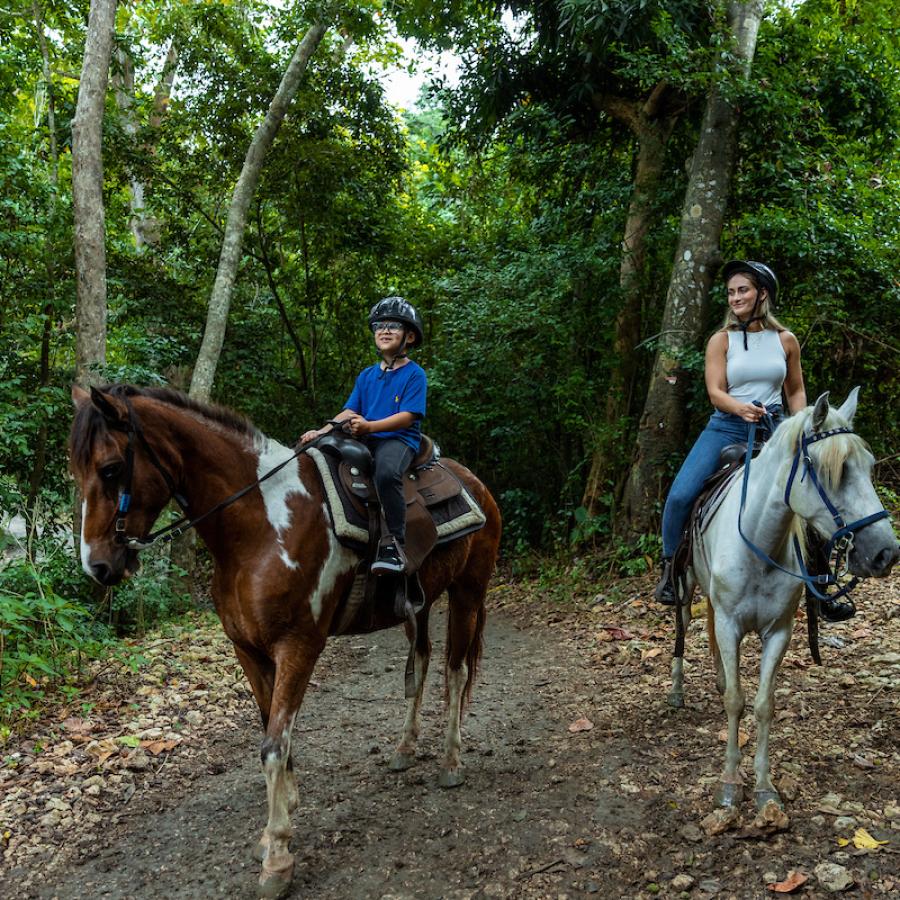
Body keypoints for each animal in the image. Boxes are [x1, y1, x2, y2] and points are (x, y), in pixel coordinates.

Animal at [69, 384, 502, 900]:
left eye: (111, 468)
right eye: (76, 470)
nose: (96, 566)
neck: (260, 526)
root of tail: (473, 482)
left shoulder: (298, 646)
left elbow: (274, 745)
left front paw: (277, 856)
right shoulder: (249, 650)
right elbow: (273, 734)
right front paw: (281, 821)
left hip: (468, 592)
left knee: (456, 673)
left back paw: (451, 761)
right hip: (419, 605)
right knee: (419, 668)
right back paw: (404, 748)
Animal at [672, 390, 896, 812]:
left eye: (870, 466)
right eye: (833, 471)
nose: (885, 553)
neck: (760, 543)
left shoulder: (779, 631)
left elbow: (763, 704)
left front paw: (763, 787)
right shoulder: (730, 623)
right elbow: (736, 701)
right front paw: (729, 784)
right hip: (685, 585)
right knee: (682, 627)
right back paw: (676, 690)